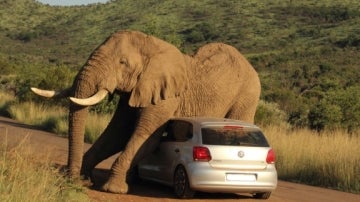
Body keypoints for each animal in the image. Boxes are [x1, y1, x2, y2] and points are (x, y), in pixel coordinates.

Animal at [31, 30, 262, 194]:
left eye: (122, 63)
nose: (70, 182)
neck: (152, 46)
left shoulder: (166, 96)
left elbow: (145, 138)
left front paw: (113, 189)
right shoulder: (135, 89)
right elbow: (117, 134)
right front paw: (84, 178)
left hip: (247, 95)